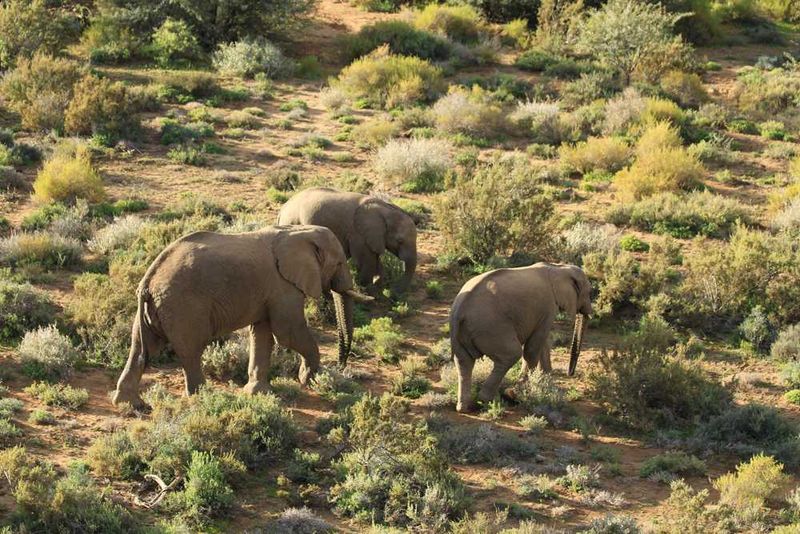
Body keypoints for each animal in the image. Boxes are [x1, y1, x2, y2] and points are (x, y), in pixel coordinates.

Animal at [112, 225, 372, 409]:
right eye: (339, 263)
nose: (341, 365)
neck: (299, 231)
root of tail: (148, 281)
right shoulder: (283, 287)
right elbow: (288, 333)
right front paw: (310, 379)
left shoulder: (270, 292)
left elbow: (263, 333)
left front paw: (258, 393)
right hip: (184, 308)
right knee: (191, 350)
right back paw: (204, 398)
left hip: (159, 309)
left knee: (140, 348)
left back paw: (131, 404)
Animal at [277, 187, 417, 292]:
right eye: (399, 241)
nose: (394, 293)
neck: (386, 209)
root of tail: (282, 209)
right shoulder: (358, 234)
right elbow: (366, 261)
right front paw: (370, 291)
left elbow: (374, 259)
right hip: (293, 221)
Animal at [449, 262, 592, 413]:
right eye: (590, 292)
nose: (570, 374)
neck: (559, 267)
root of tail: (460, 311)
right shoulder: (548, 307)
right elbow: (533, 348)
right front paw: (521, 392)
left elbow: (542, 343)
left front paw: (546, 383)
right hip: (490, 329)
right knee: (511, 355)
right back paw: (486, 401)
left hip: (462, 333)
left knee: (463, 362)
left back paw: (464, 407)